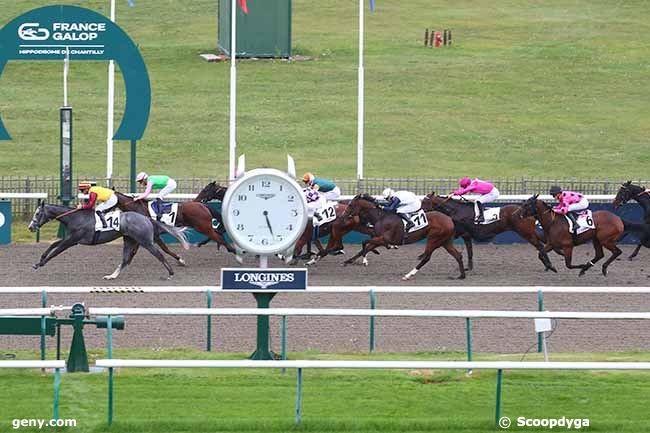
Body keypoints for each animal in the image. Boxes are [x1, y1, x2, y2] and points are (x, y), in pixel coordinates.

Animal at [29, 201, 189, 278]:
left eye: (37, 213)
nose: (31, 227)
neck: (75, 217)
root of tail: (146, 218)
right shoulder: (70, 239)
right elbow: (52, 245)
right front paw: (39, 261)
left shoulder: (72, 240)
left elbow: (55, 252)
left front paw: (41, 263)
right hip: (129, 240)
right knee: (125, 260)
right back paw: (112, 276)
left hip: (145, 241)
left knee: (159, 254)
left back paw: (171, 273)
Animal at [336, 193, 464, 280]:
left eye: (350, 204)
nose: (342, 216)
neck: (381, 217)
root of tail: (450, 220)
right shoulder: (379, 238)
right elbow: (367, 246)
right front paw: (349, 261)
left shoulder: (384, 238)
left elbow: (365, 243)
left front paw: (365, 260)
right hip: (445, 241)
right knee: (458, 255)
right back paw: (461, 275)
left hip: (434, 239)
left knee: (426, 257)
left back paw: (408, 274)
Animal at [422, 192, 556, 270]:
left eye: (424, 201)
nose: (419, 210)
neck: (457, 210)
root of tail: (529, 214)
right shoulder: (466, 235)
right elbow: (470, 252)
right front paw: (468, 267)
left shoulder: (457, 233)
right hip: (530, 231)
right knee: (543, 243)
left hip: (526, 233)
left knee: (540, 245)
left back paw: (549, 265)